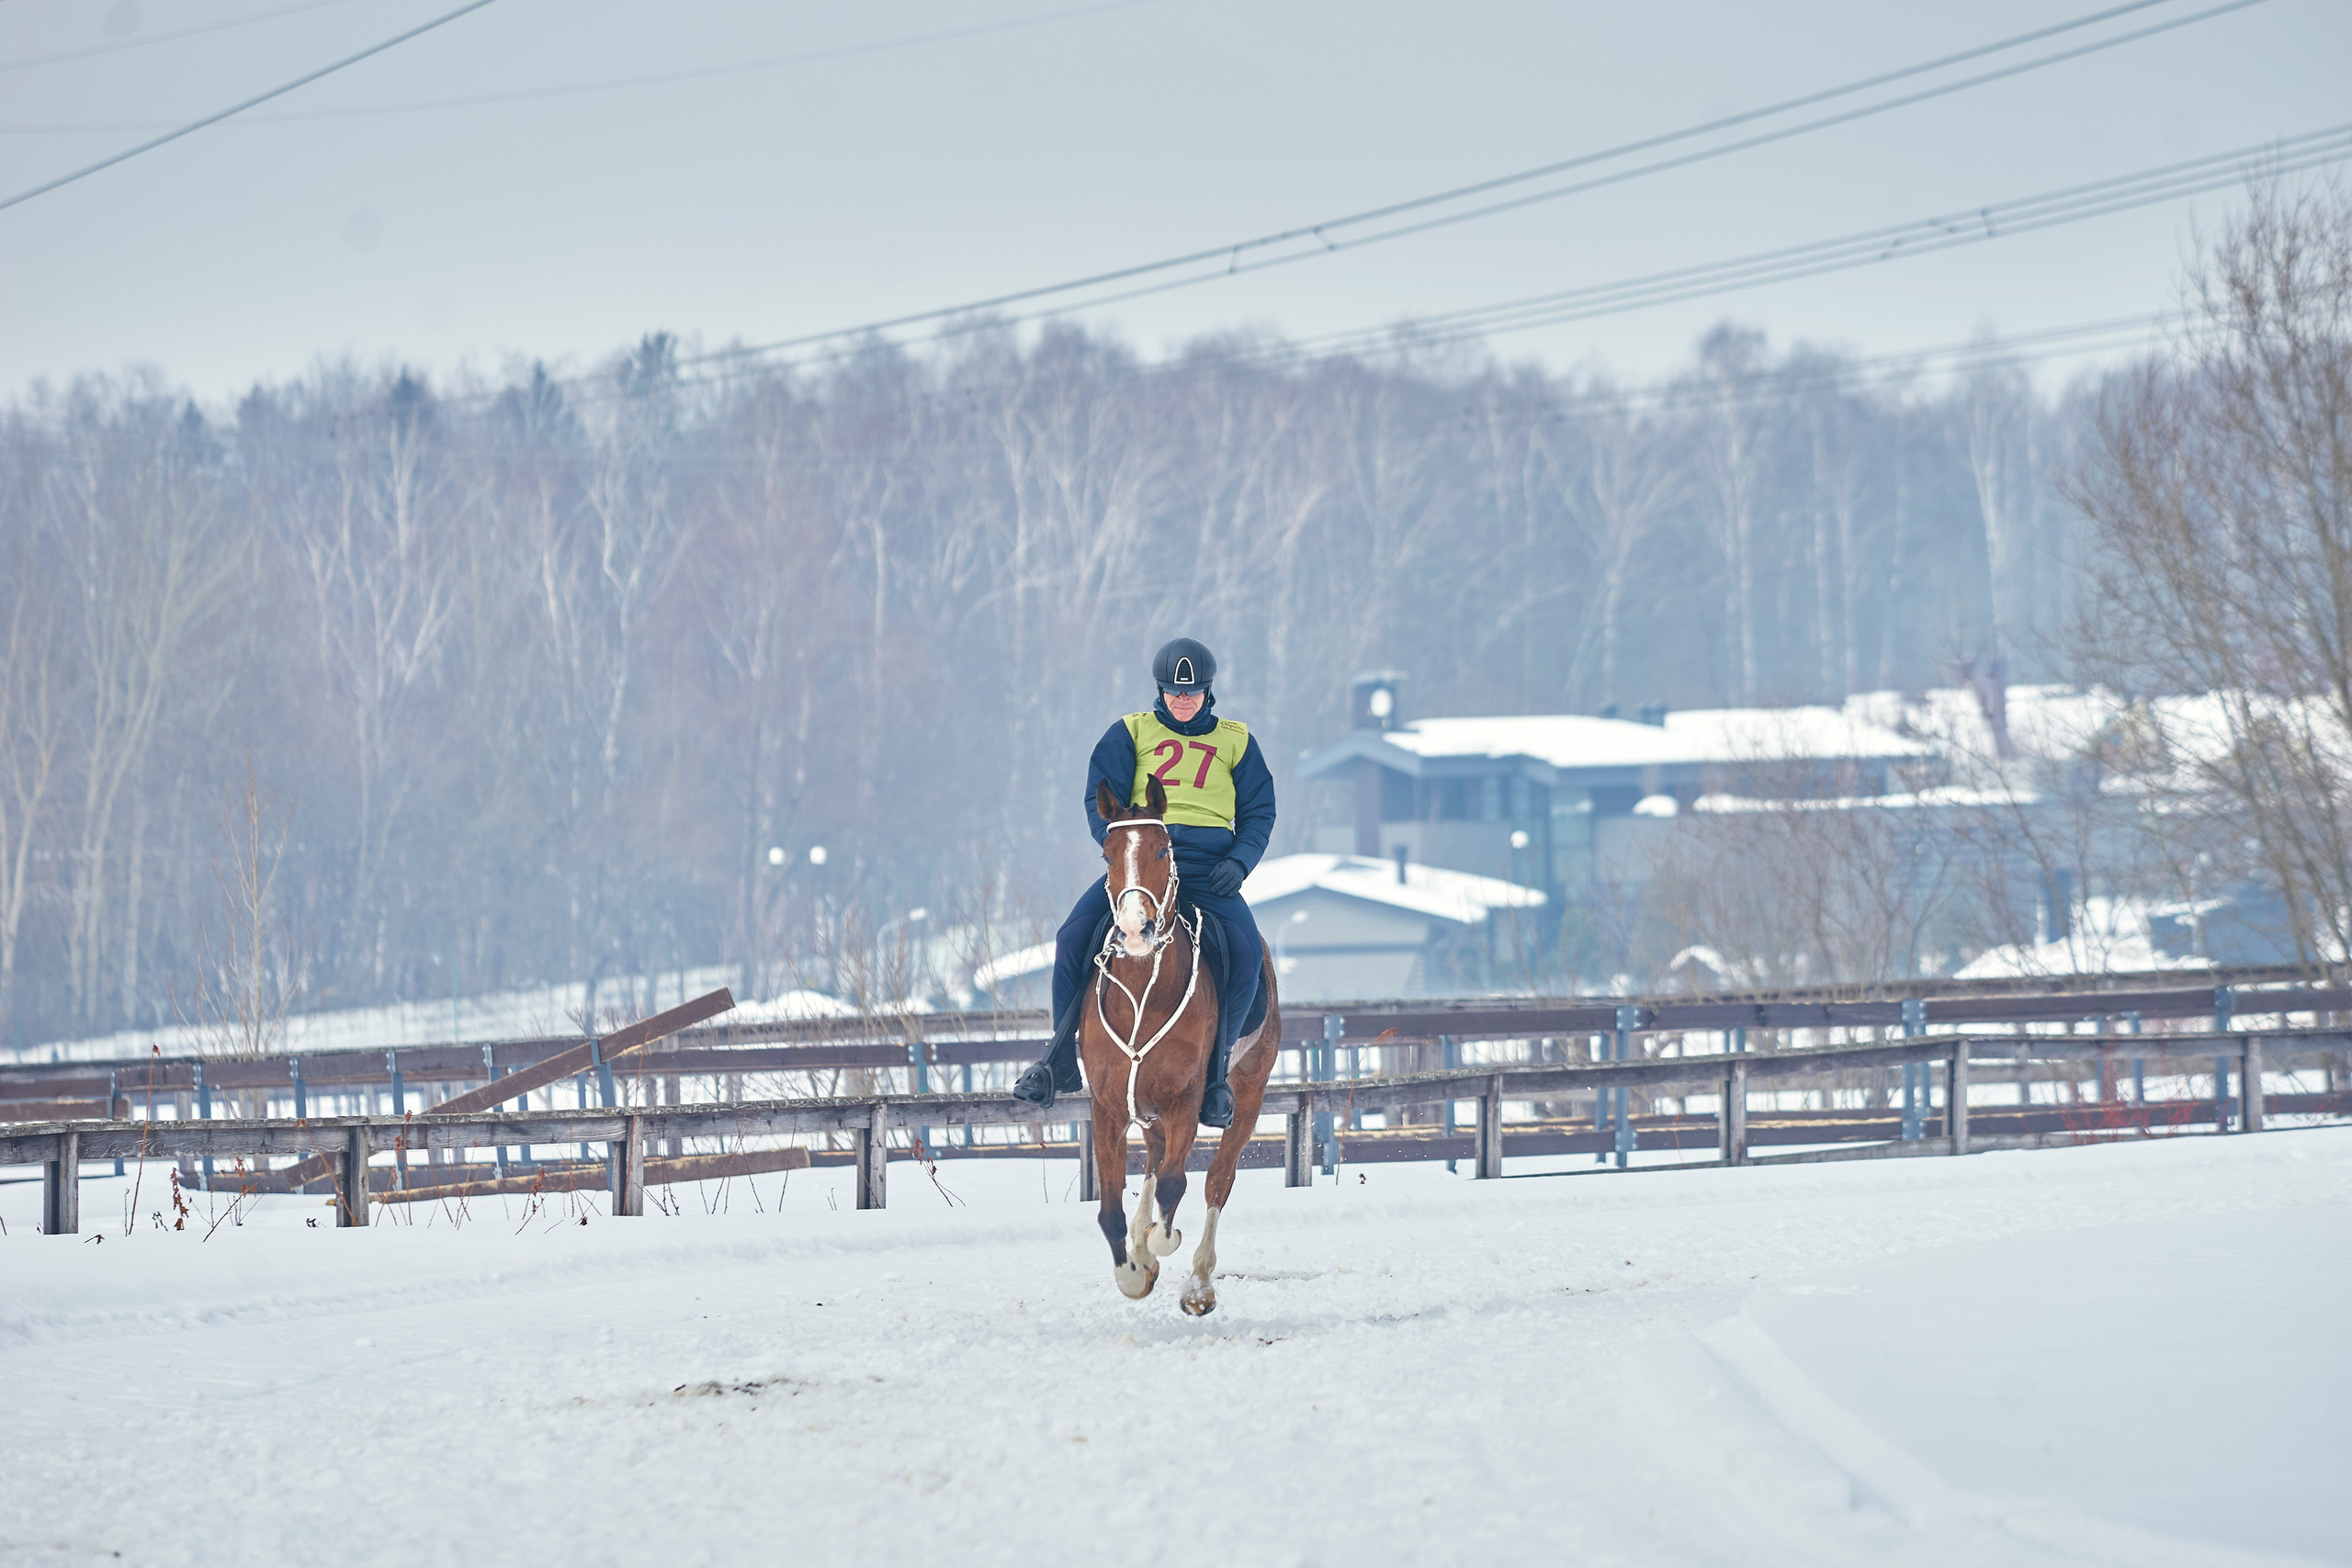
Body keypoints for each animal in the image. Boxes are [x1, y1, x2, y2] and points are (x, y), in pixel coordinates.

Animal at [1082, 775, 1282, 1315]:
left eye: (1162, 848)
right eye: (1107, 853)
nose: (1135, 929)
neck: (1142, 993)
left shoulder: (1186, 1103)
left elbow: (1178, 1186)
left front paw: (1158, 1245)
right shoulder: (1108, 1107)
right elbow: (1110, 1210)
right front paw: (1133, 1270)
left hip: (1247, 1096)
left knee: (1217, 1180)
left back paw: (1198, 1283)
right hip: (1146, 1107)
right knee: (1153, 1162)